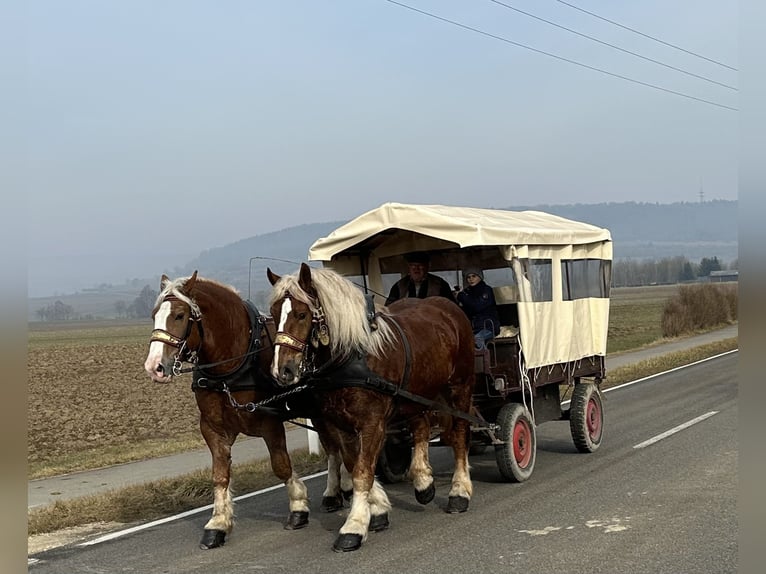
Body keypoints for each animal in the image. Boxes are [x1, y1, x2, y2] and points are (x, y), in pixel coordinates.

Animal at [144, 272, 312, 552]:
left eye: (179, 315)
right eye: (154, 314)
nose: (153, 367)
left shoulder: (270, 422)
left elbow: (281, 465)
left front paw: (298, 507)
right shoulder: (213, 428)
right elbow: (220, 475)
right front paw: (218, 524)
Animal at [268, 266, 476, 552]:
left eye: (302, 314)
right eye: (273, 314)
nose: (282, 371)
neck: (352, 356)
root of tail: (449, 307)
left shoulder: (372, 423)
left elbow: (362, 472)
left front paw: (354, 526)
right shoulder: (342, 425)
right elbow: (354, 464)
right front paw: (377, 510)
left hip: (460, 387)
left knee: (459, 434)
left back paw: (459, 490)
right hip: (417, 394)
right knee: (421, 427)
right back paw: (423, 482)